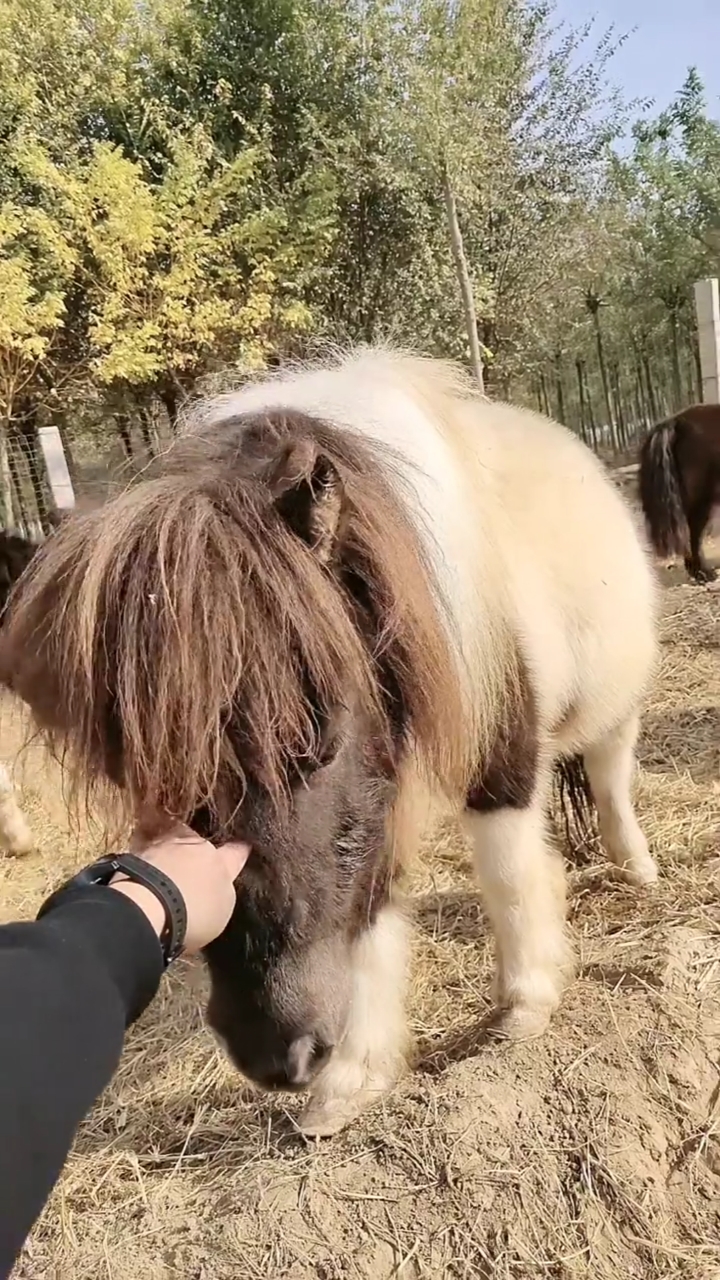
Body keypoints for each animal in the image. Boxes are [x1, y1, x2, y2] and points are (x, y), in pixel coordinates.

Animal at [0, 349, 659, 1136]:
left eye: (310, 738)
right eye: (139, 773)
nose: (275, 1057)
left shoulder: (501, 755)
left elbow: (509, 873)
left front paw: (525, 1007)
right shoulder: (379, 791)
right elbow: (361, 914)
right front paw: (351, 1083)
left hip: (614, 708)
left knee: (611, 779)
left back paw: (638, 871)